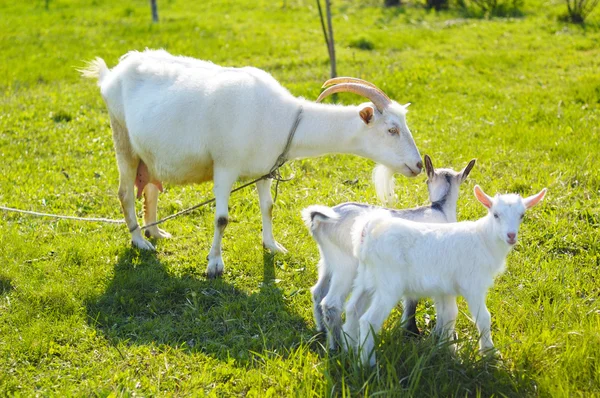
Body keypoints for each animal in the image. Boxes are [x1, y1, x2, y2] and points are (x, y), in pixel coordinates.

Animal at [302, 154, 476, 350]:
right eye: (426, 181)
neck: (440, 208)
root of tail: (320, 218)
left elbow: (411, 299)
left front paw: (411, 331)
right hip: (346, 266)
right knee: (331, 303)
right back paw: (336, 346)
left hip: (328, 260)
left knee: (318, 292)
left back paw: (322, 331)